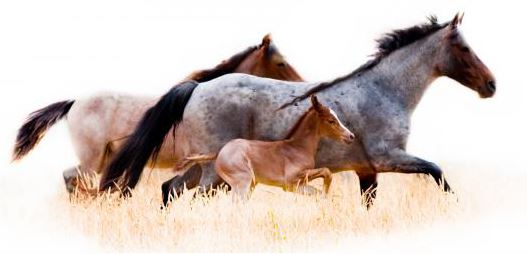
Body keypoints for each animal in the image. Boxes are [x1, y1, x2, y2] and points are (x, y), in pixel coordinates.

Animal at [11, 34, 306, 192]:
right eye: (280, 63)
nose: (302, 84)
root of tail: (73, 103)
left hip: (103, 160)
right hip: (91, 160)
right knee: (71, 177)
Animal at [166, 96, 354, 203]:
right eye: (331, 120)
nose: (350, 136)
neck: (298, 147)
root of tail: (220, 152)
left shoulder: (295, 186)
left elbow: (319, 192)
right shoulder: (291, 180)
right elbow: (327, 172)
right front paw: (327, 191)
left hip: (248, 185)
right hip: (243, 182)